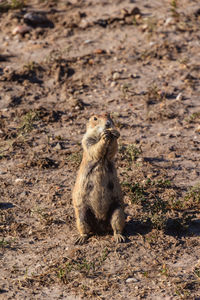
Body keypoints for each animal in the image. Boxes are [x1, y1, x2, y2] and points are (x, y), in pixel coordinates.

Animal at [72, 112, 125, 244]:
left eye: (108, 115)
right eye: (95, 118)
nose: (108, 124)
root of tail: (100, 227)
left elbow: (113, 149)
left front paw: (115, 133)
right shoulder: (87, 140)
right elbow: (94, 148)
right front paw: (104, 136)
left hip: (117, 210)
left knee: (116, 224)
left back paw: (119, 237)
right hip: (82, 215)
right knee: (84, 227)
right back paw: (81, 238)